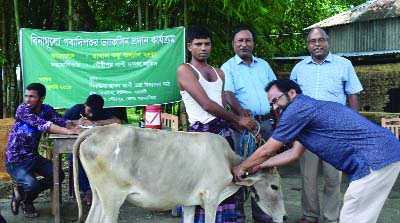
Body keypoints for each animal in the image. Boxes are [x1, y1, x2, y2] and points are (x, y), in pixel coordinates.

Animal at [72, 123, 288, 223]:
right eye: (274, 186)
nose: (285, 217)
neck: (227, 160)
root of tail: (98, 130)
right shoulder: (211, 197)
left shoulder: (190, 202)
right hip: (113, 197)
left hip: (99, 195)